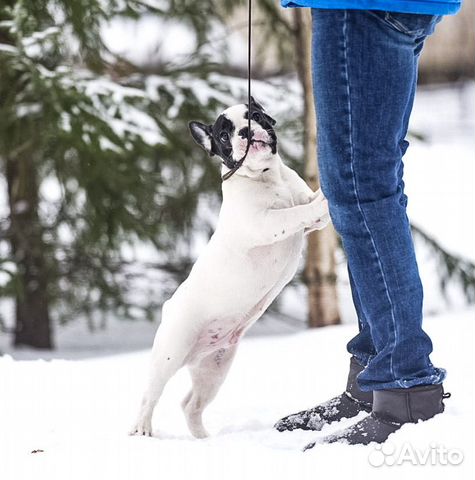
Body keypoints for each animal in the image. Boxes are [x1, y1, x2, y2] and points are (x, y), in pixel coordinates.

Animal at [130, 95, 330, 436]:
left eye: (256, 116)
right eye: (224, 135)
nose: (246, 132)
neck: (267, 176)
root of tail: (170, 307)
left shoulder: (305, 215)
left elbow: (308, 206)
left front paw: (326, 195)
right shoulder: (263, 223)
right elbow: (293, 214)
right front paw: (327, 200)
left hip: (215, 367)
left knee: (191, 405)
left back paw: (203, 439)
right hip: (169, 354)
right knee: (149, 395)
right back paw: (142, 429)